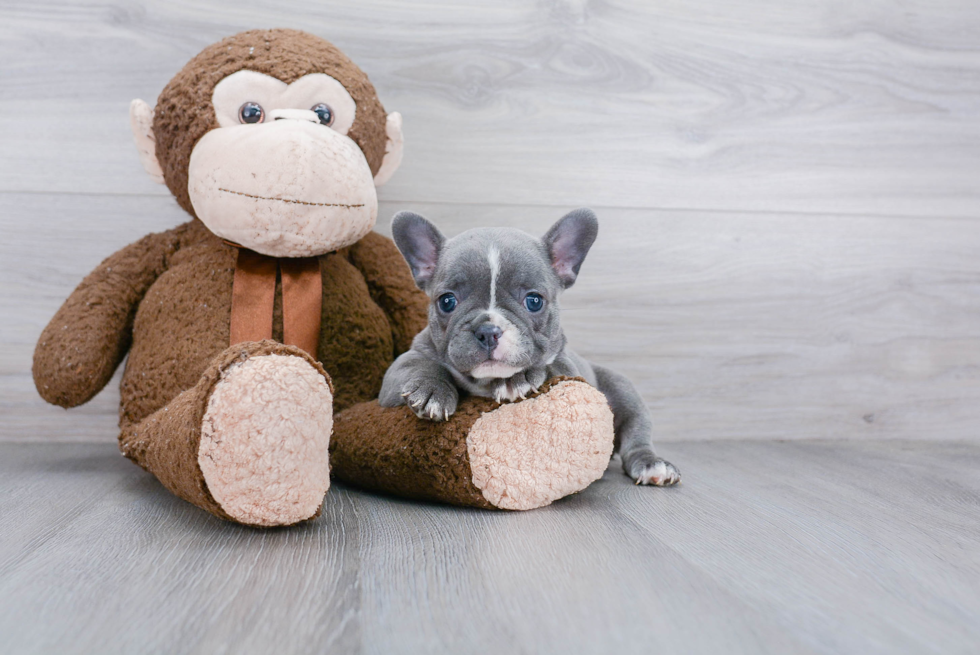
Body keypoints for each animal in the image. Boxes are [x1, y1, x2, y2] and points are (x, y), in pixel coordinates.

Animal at [380, 208, 680, 484]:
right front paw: (432, 390)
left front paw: (518, 378)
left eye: (534, 301)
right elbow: (419, 365)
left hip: (624, 391)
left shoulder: (568, 367)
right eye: (447, 301)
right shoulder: (399, 372)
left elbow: (549, 366)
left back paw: (653, 465)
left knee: (636, 435)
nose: (488, 330)